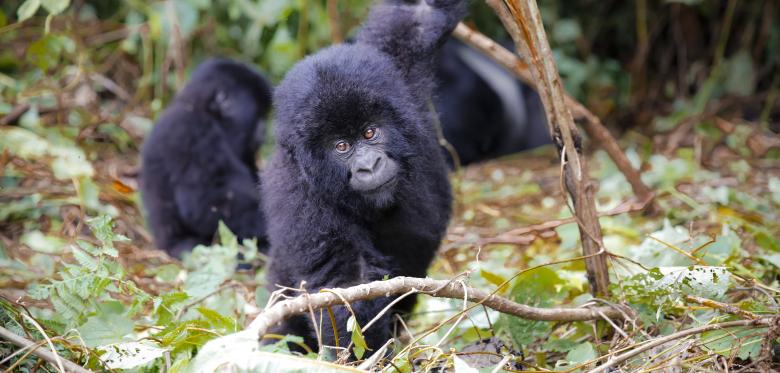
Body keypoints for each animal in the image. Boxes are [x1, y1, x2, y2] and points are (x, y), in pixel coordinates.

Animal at [262, 0, 464, 354]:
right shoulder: (301, 198)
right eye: (341, 146)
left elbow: (418, 17)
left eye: (370, 132)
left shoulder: (397, 77)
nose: (368, 165)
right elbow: (347, 286)